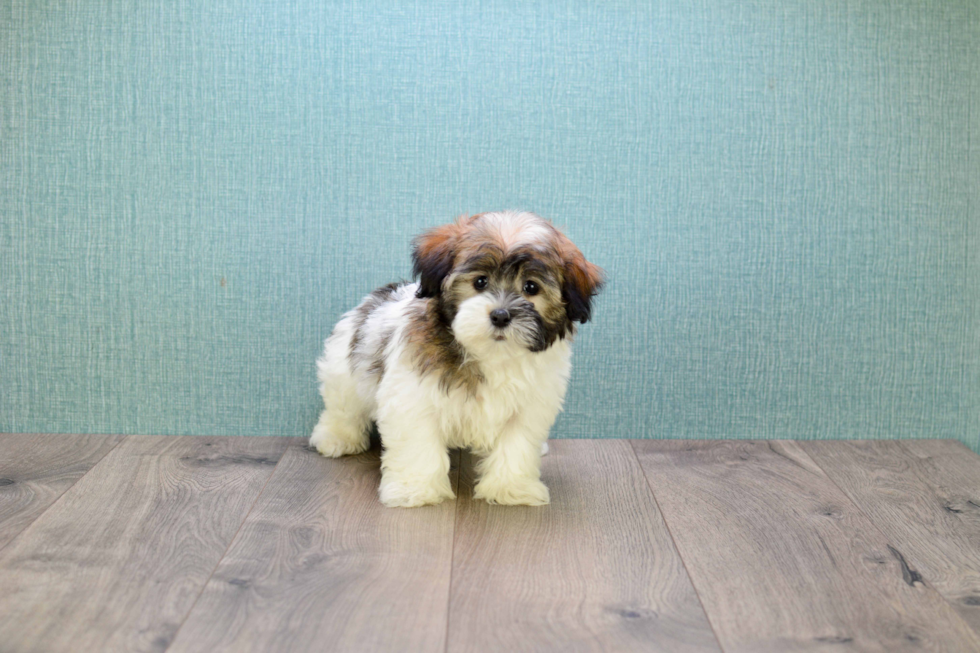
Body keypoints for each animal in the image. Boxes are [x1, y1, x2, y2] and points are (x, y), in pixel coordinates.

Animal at [312, 211, 604, 506]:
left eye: (531, 287)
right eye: (480, 282)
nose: (501, 315)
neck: (489, 355)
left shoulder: (529, 407)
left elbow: (516, 445)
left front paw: (511, 488)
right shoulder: (413, 397)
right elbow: (418, 443)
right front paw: (415, 489)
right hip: (343, 367)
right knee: (343, 406)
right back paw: (335, 438)